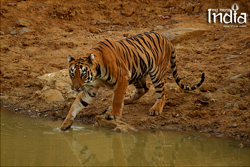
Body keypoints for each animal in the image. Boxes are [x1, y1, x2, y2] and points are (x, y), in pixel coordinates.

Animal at [60, 31, 205, 130]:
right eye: (72, 74)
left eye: (83, 75)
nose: (76, 88)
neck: (96, 73)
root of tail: (167, 40)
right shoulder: (90, 89)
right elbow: (76, 105)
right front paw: (65, 125)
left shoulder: (122, 77)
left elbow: (117, 98)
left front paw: (114, 115)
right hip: (137, 72)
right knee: (143, 89)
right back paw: (124, 102)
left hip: (155, 72)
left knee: (162, 94)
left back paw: (155, 109)